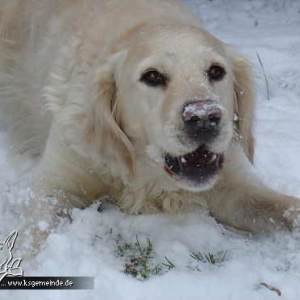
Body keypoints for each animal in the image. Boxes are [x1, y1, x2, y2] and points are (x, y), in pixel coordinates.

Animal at [0, 0, 298, 247]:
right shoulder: (57, 185)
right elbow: (35, 238)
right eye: (152, 76)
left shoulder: (234, 185)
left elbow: (286, 208)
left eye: (216, 71)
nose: (203, 117)